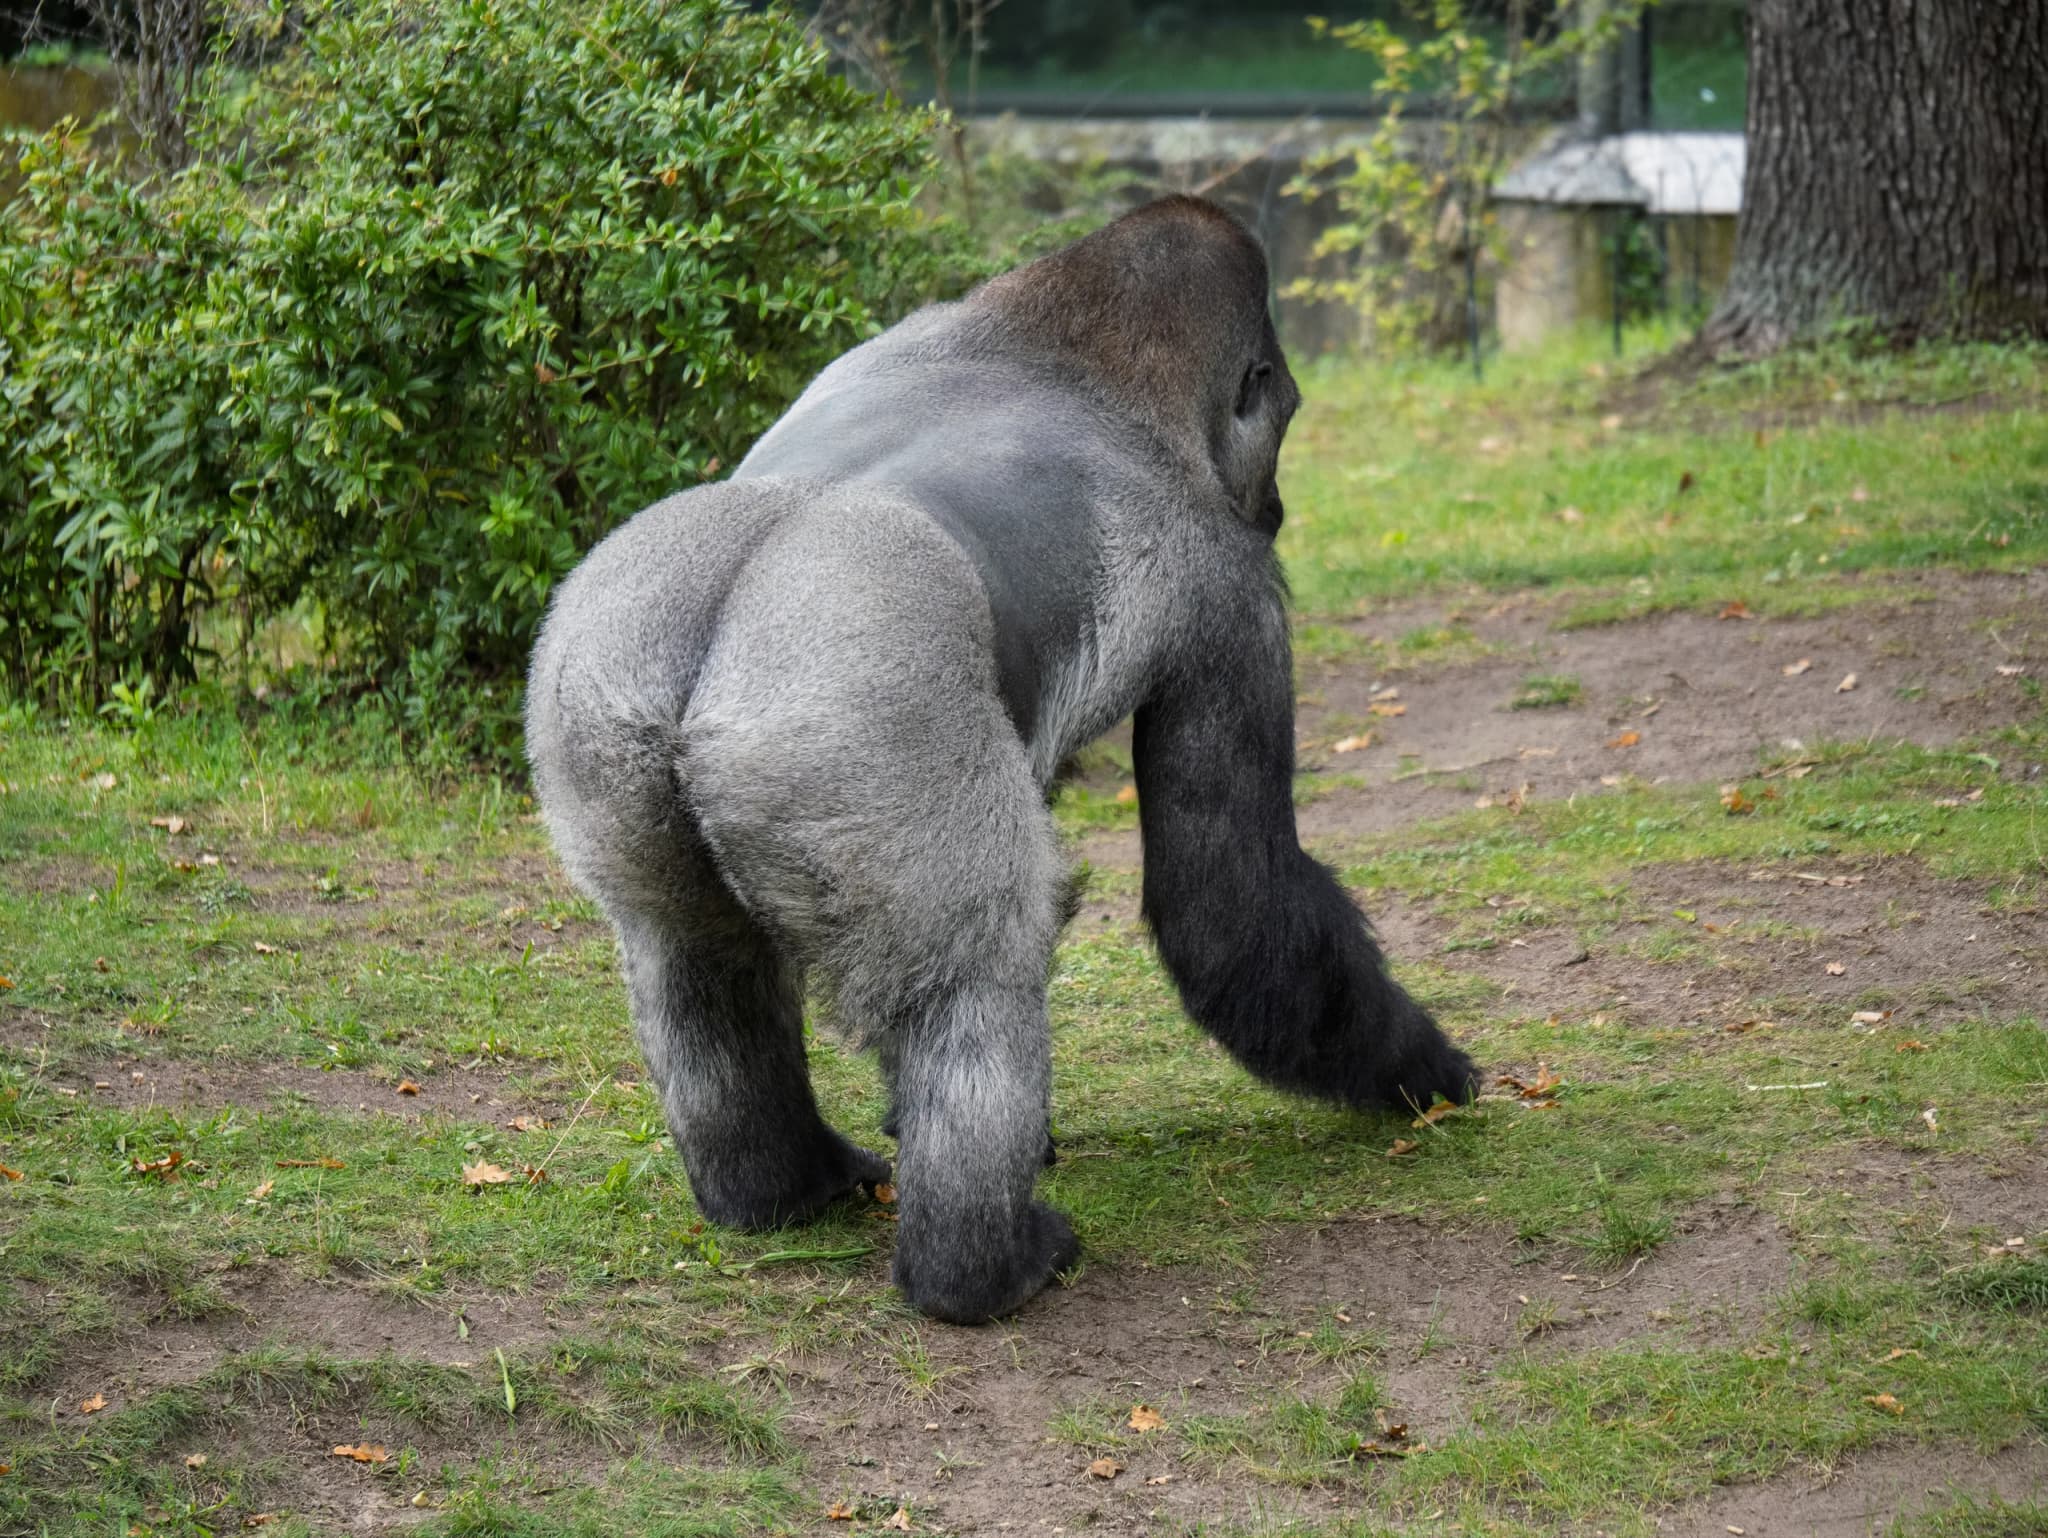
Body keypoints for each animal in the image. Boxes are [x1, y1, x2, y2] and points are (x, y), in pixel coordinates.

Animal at [526, 196, 1479, 1325]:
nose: (1279, 500)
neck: (1065, 352)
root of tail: (702, 662)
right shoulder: (1232, 589)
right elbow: (1229, 908)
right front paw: (1421, 1071)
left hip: (600, 711)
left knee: (693, 955)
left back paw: (779, 1187)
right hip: (846, 725)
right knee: (971, 975)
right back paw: (981, 1266)